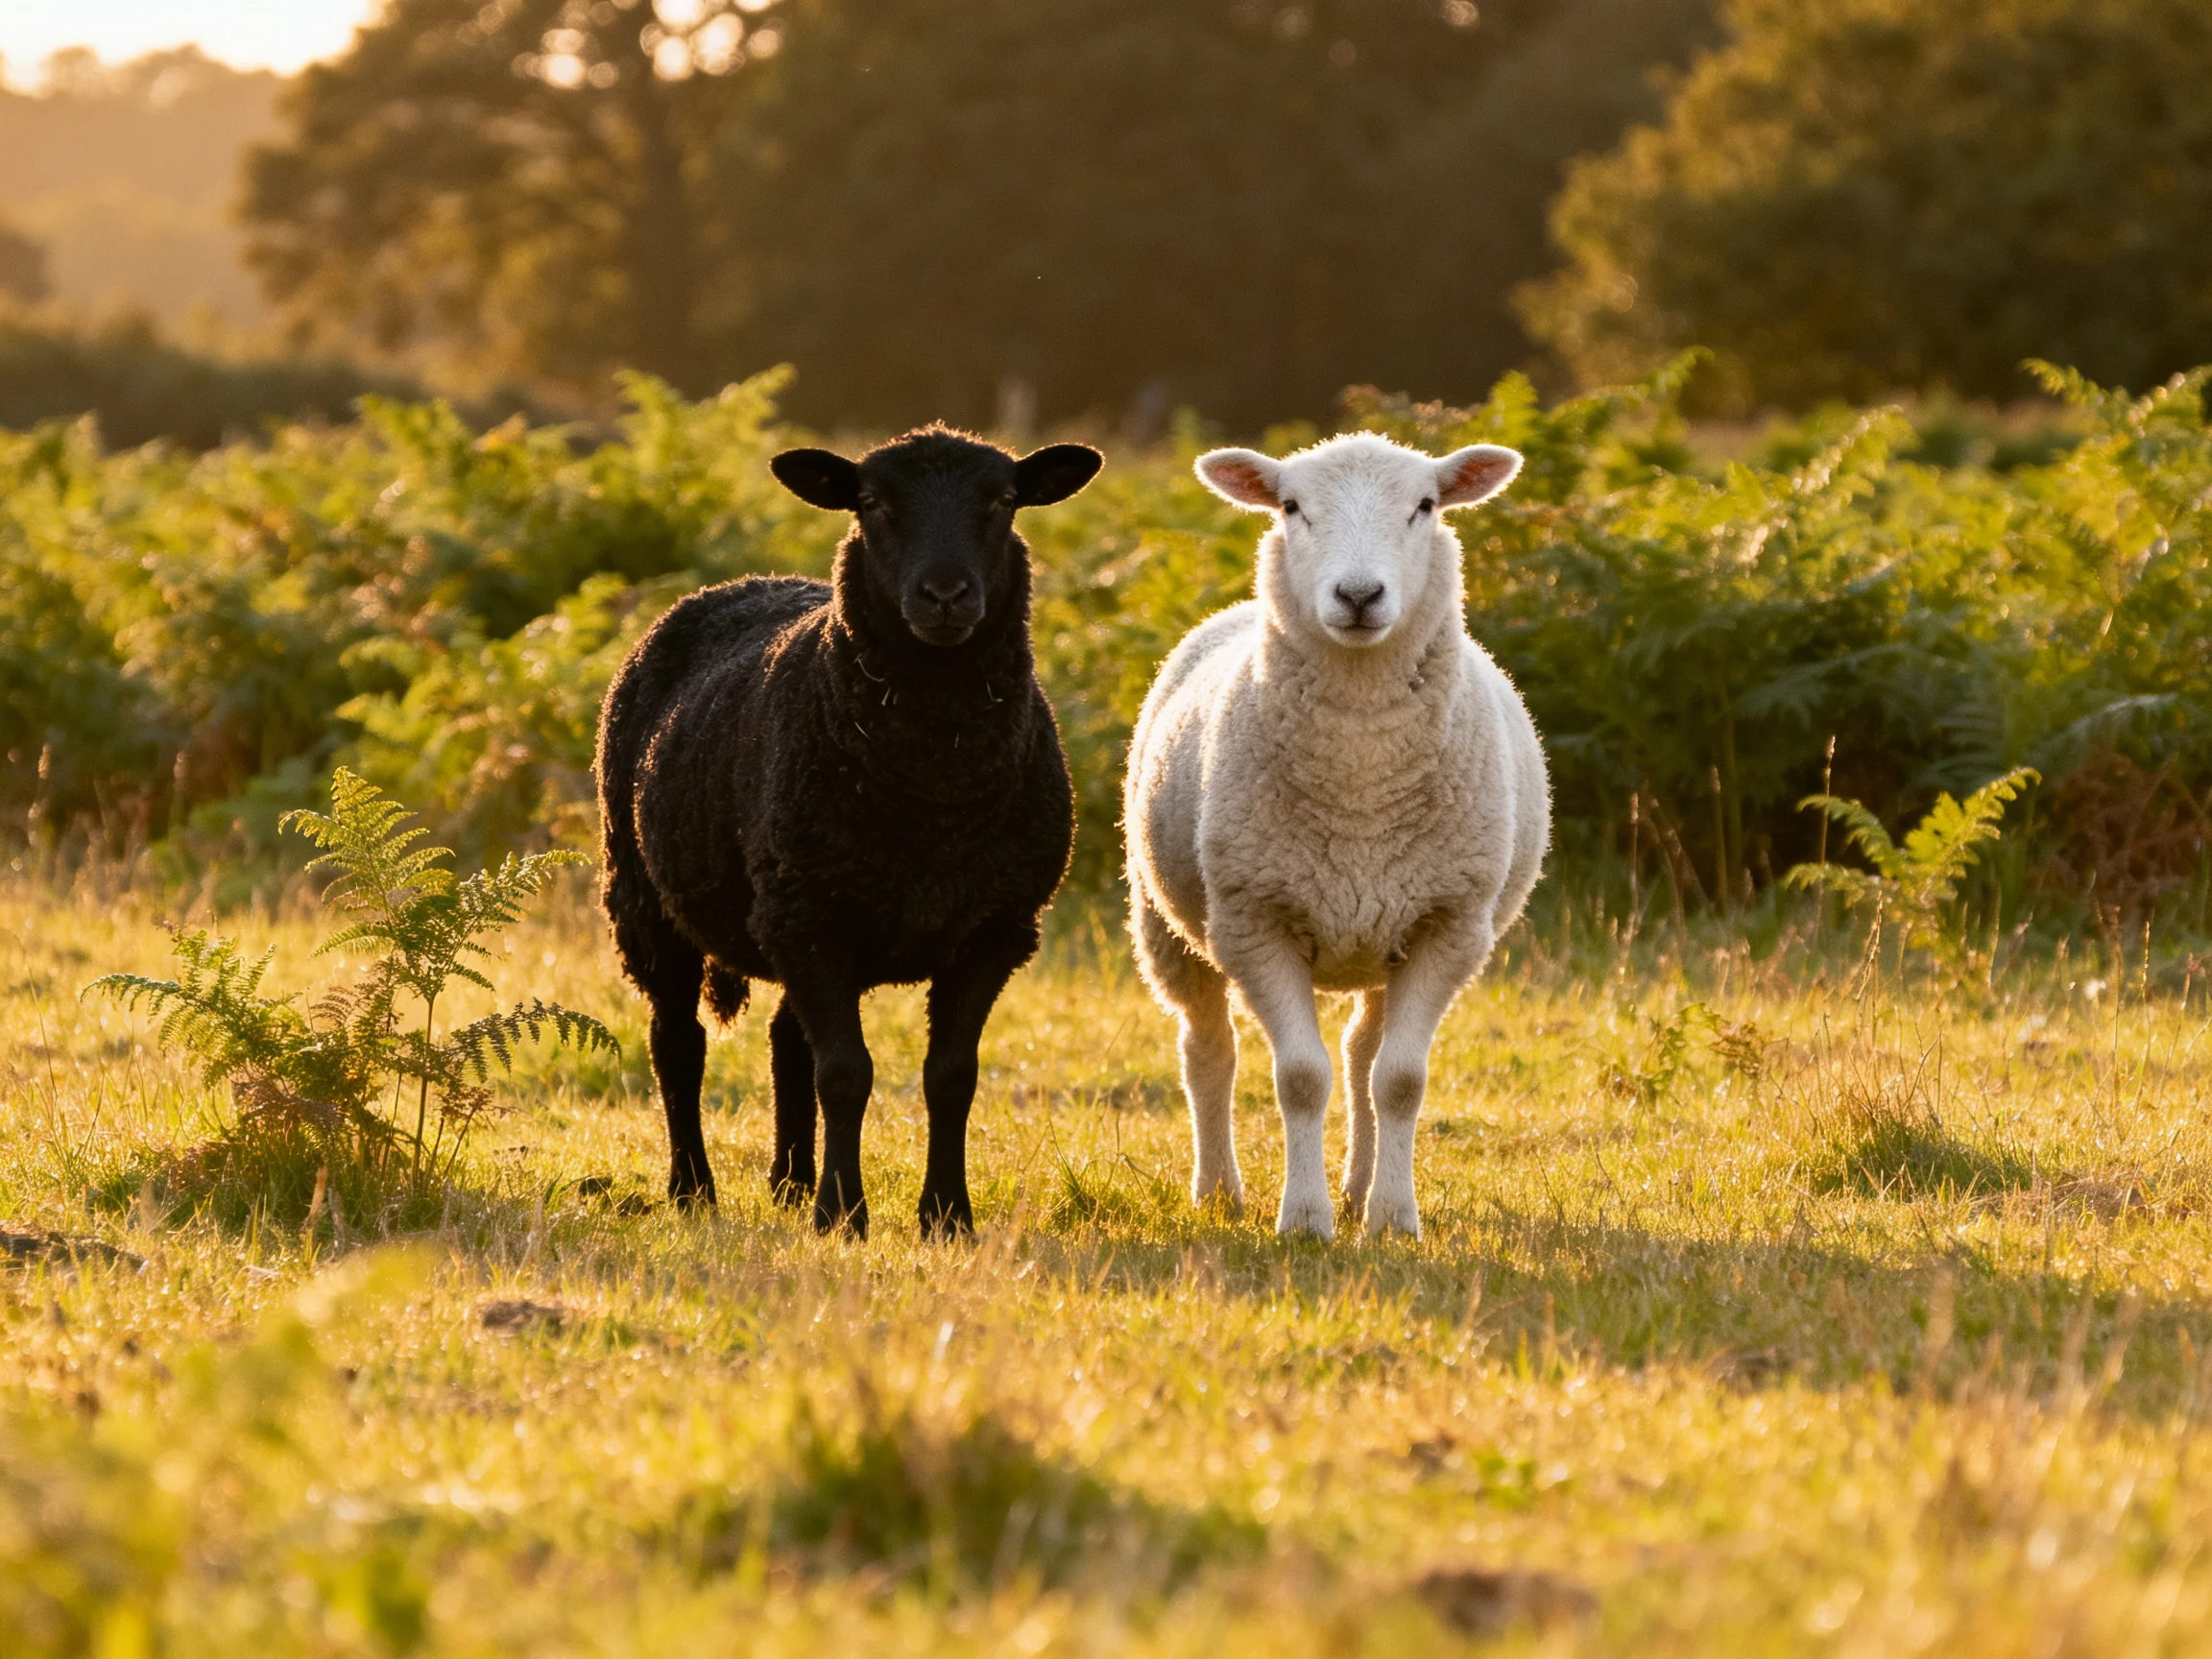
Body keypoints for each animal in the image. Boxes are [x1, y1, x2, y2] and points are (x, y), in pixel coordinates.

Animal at [596, 426, 1102, 1238]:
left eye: (1002, 500)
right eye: (872, 504)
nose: (945, 596)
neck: (934, 794)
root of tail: (747, 582)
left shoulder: (994, 928)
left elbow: (950, 1077)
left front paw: (946, 1216)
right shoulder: (812, 919)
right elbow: (845, 1074)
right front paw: (843, 1214)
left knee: (783, 1045)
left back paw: (790, 1180)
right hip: (646, 898)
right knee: (677, 1043)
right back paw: (694, 1188)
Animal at [1123, 431, 1549, 1241]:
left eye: (1426, 505)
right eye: (1291, 506)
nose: (1357, 596)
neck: (1360, 781)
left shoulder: (1450, 924)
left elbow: (1400, 1080)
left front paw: (1391, 1219)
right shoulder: (1252, 919)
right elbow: (1298, 1077)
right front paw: (1304, 1221)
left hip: (1387, 933)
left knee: (1362, 1056)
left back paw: (1358, 1190)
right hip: (1162, 921)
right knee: (1208, 1051)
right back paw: (1218, 1192)